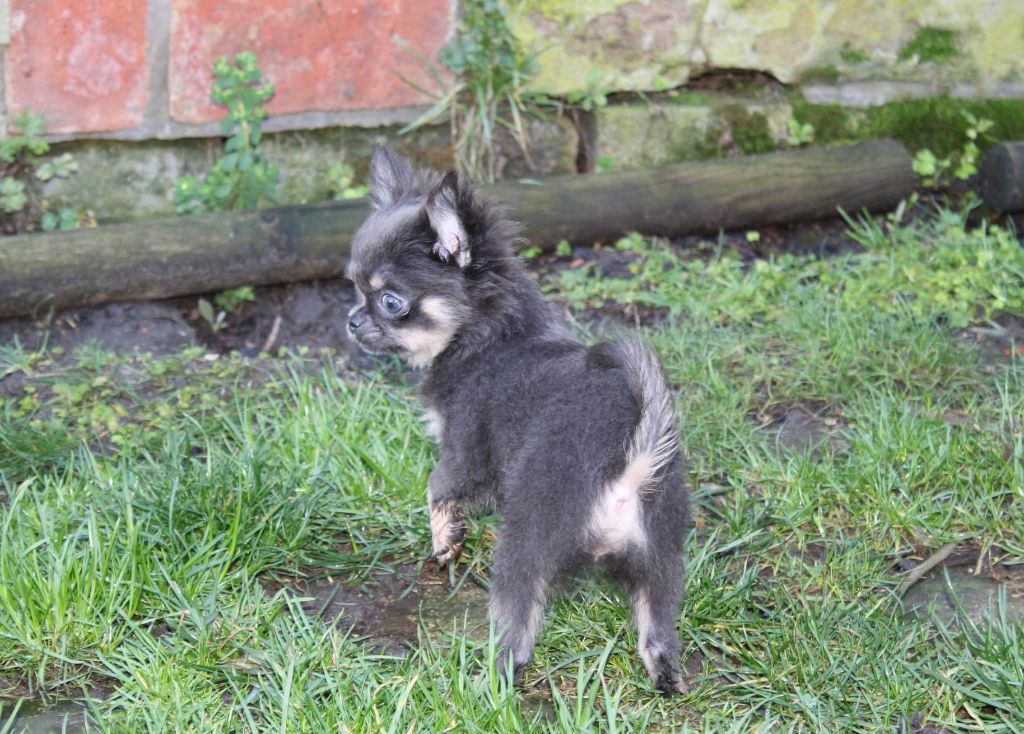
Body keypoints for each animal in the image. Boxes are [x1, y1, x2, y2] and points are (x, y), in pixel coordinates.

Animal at [348, 147, 692, 692]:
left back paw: (489, 679)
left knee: (518, 626)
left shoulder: (463, 450)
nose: (351, 320)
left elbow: (437, 490)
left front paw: (445, 542)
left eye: (389, 301)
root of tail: (630, 463)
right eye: (354, 287)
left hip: (527, 540)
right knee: (657, 631)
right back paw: (666, 678)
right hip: (660, 556)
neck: (489, 334)